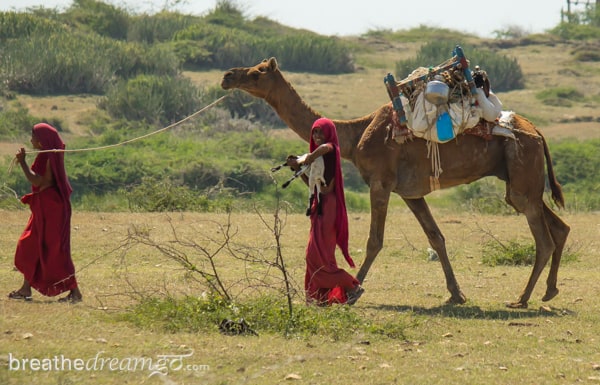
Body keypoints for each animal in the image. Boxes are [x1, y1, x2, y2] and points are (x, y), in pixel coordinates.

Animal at [221, 57, 572, 308]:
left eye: (257, 73)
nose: (228, 75)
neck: (354, 135)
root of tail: (537, 133)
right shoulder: (410, 192)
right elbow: (436, 237)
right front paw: (455, 294)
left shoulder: (381, 181)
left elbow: (375, 240)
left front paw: (353, 292)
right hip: (521, 179)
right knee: (558, 227)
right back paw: (549, 291)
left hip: (522, 167)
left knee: (543, 237)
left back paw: (522, 298)